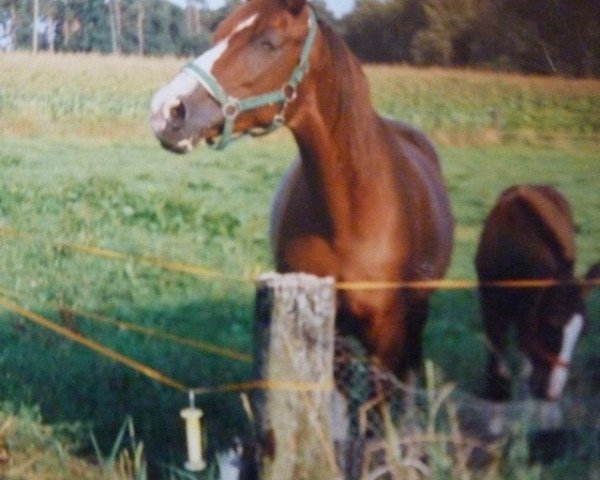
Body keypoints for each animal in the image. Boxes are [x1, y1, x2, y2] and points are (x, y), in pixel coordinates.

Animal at [476, 184, 596, 402]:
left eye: (583, 333)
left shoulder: (530, 308)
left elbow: (526, 347)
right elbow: (496, 340)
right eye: (552, 325)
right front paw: (495, 391)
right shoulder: (490, 301)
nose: (553, 393)